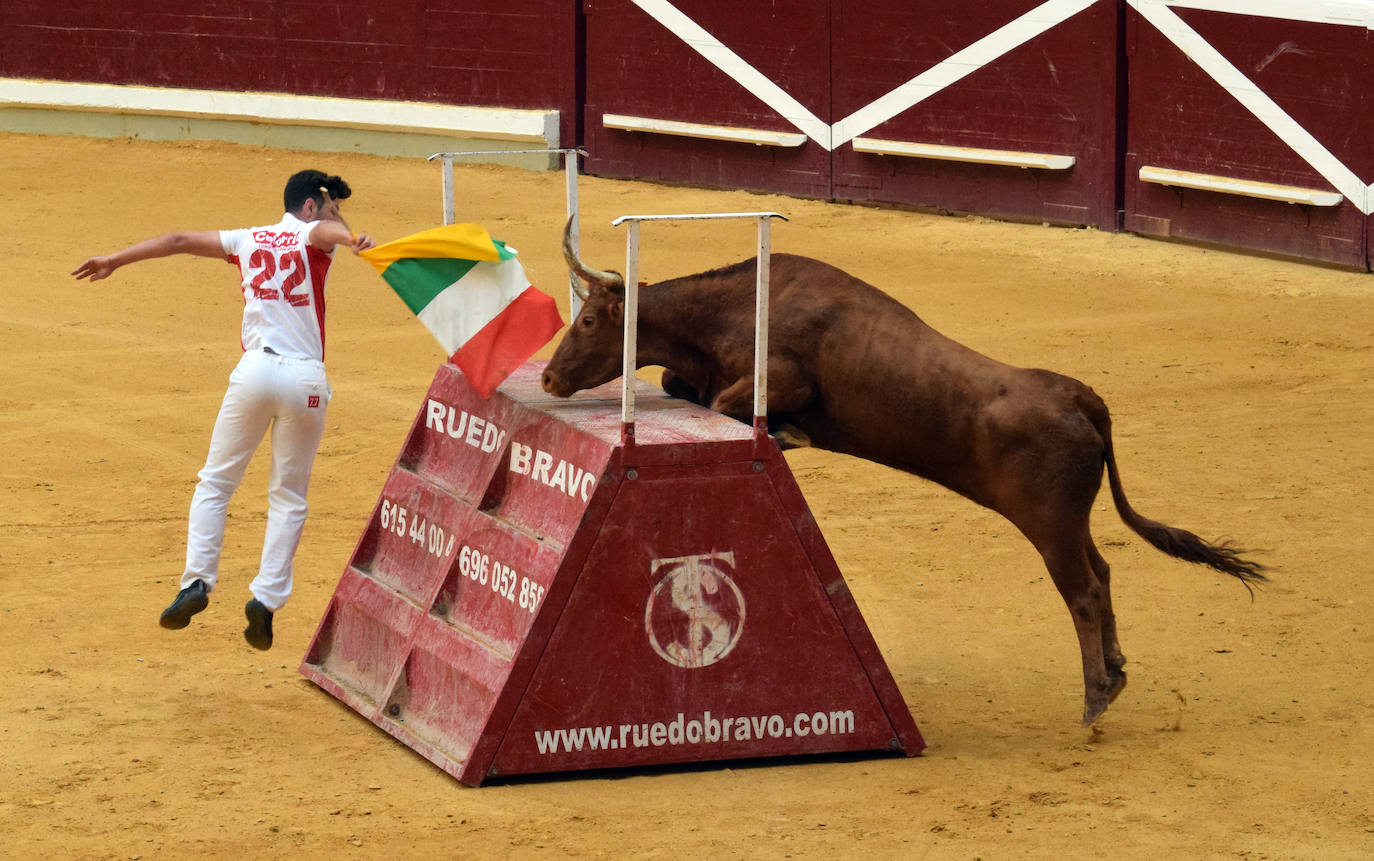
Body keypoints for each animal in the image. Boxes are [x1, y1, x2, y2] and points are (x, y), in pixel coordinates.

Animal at [538, 218, 1264, 725]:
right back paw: (1113, 671)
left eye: (589, 317)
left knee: (1083, 589)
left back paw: (1095, 696)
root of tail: (1080, 396)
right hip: (1070, 519)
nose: (545, 377)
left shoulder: (783, 377)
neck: (737, 308)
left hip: (1050, 522)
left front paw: (789, 434)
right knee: (1105, 572)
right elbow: (682, 384)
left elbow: (727, 403)